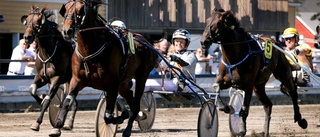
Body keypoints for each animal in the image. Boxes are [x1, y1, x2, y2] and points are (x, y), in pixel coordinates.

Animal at [49, 0, 158, 136]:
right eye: (66, 9)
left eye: (81, 10)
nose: (66, 31)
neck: (90, 51)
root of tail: (146, 42)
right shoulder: (76, 80)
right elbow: (67, 103)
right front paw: (57, 127)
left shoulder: (112, 84)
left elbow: (108, 116)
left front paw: (121, 116)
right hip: (123, 83)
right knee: (130, 98)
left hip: (141, 77)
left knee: (136, 105)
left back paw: (128, 129)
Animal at [200, 8, 308, 136]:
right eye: (207, 21)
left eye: (219, 23)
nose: (204, 41)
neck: (235, 56)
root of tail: (276, 42)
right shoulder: (226, 81)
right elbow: (216, 86)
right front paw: (226, 107)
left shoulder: (248, 85)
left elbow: (244, 108)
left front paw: (242, 129)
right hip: (258, 86)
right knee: (268, 105)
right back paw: (265, 132)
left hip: (283, 74)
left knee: (293, 93)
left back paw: (300, 119)